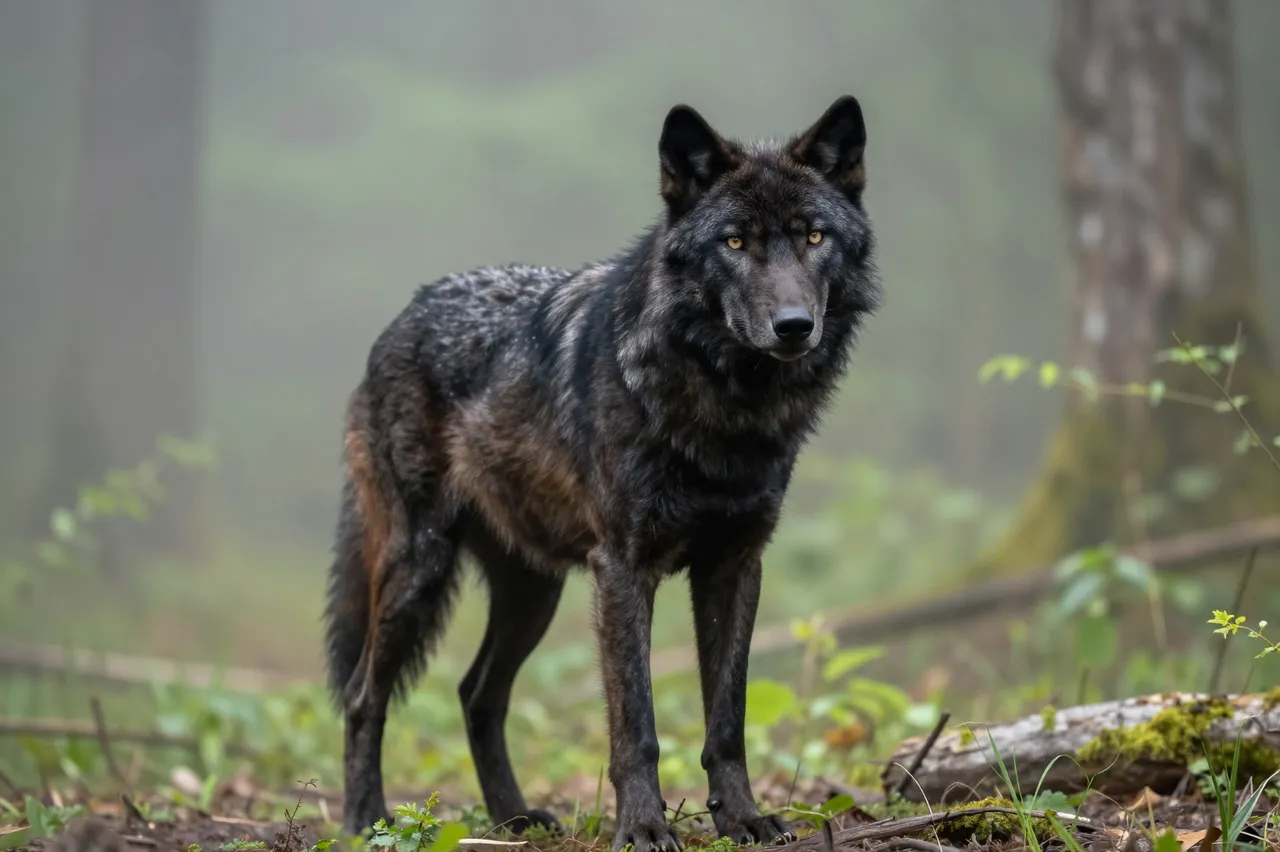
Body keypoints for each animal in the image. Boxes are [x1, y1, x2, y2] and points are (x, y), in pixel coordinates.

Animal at [323, 95, 881, 852]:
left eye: (814, 236)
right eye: (735, 243)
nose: (794, 325)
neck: (726, 409)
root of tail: (406, 312)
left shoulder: (735, 566)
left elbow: (727, 720)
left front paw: (741, 819)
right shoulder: (624, 570)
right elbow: (636, 726)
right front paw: (643, 826)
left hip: (534, 593)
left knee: (477, 693)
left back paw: (514, 818)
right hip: (420, 569)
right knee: (363, 695)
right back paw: (365, 819)